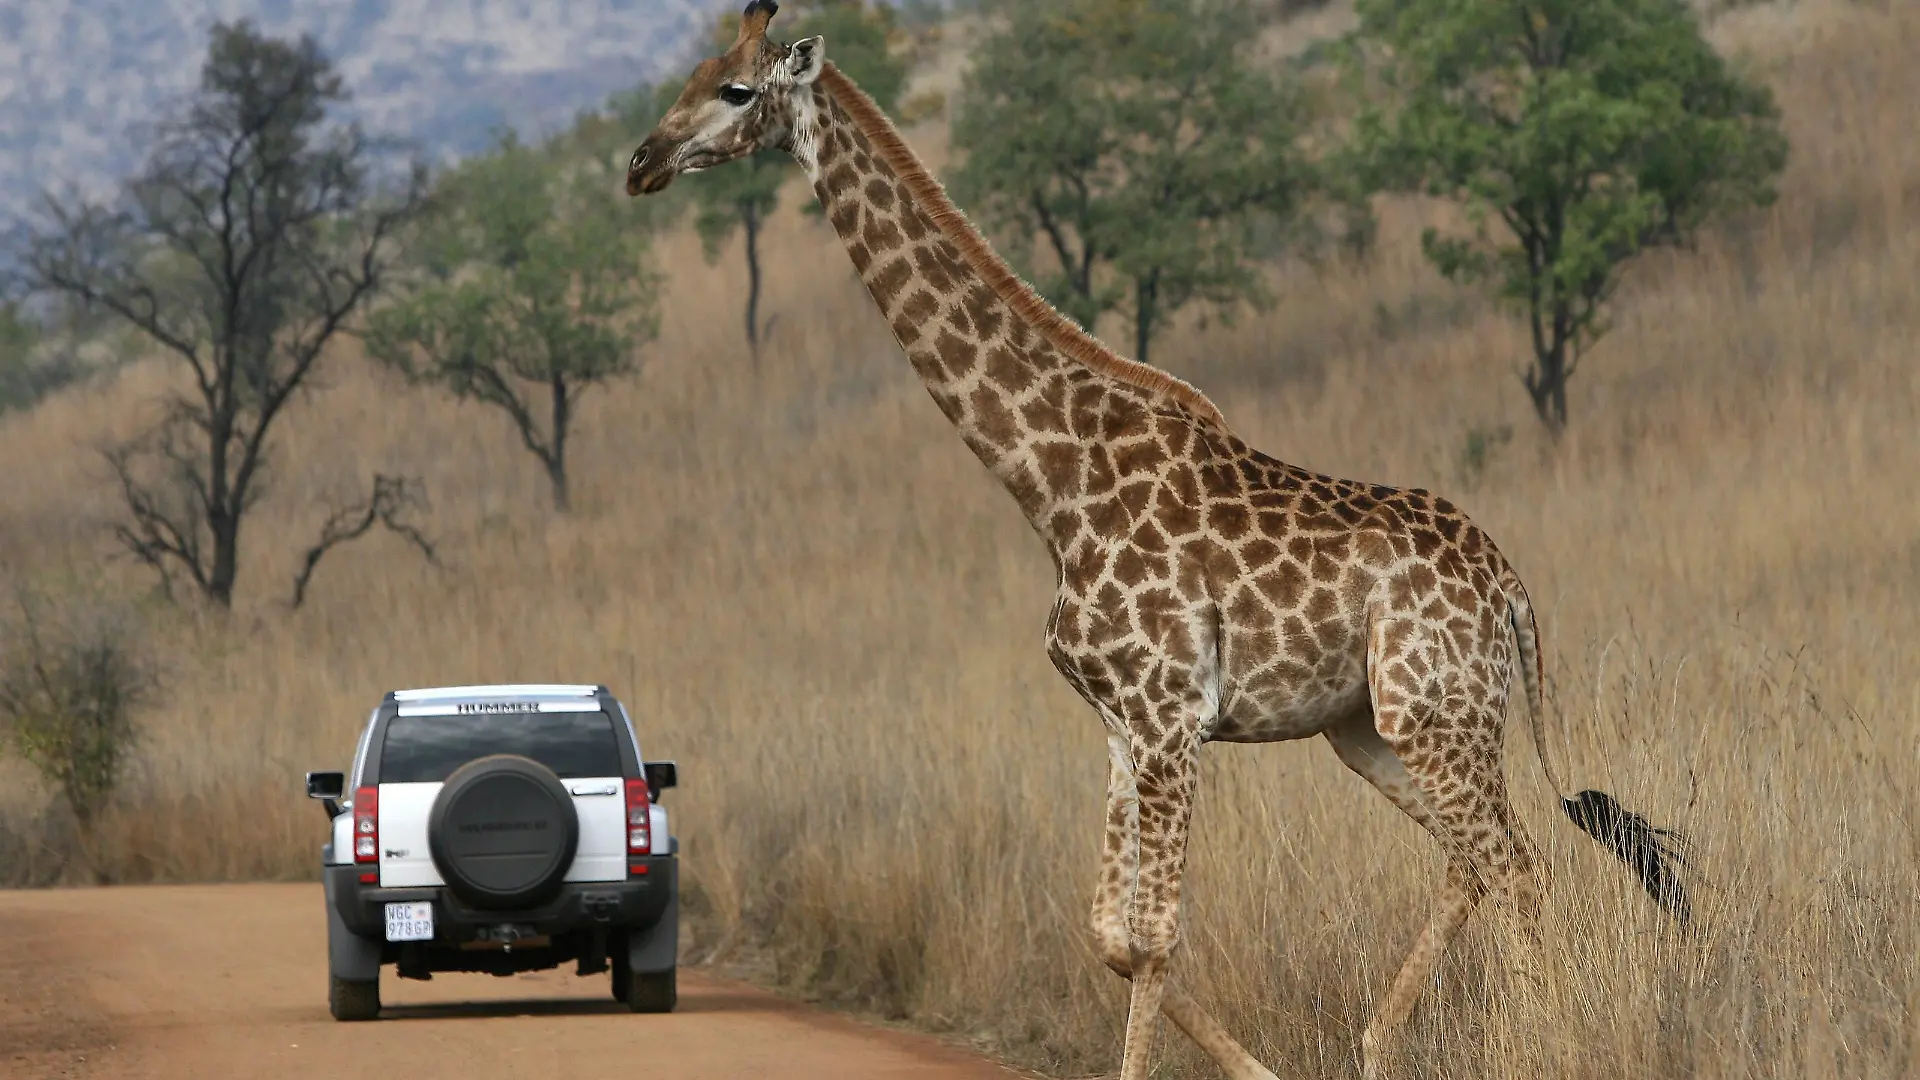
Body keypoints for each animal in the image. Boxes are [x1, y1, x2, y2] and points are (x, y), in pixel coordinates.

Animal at [627, 5, 1691, 1077]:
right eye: (691, 75)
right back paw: (1378, 1045)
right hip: (1369, 728)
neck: (1052, 483)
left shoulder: (1172, 715)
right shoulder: (1118, 721)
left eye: (736, 90)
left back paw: (1543, 1041)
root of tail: (1512, 587)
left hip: (1437, 713)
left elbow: (1153, 936)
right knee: (1474, 863)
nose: (641, 162)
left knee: (1516, 862)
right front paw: (1259, 1069)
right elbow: (1109, 934)